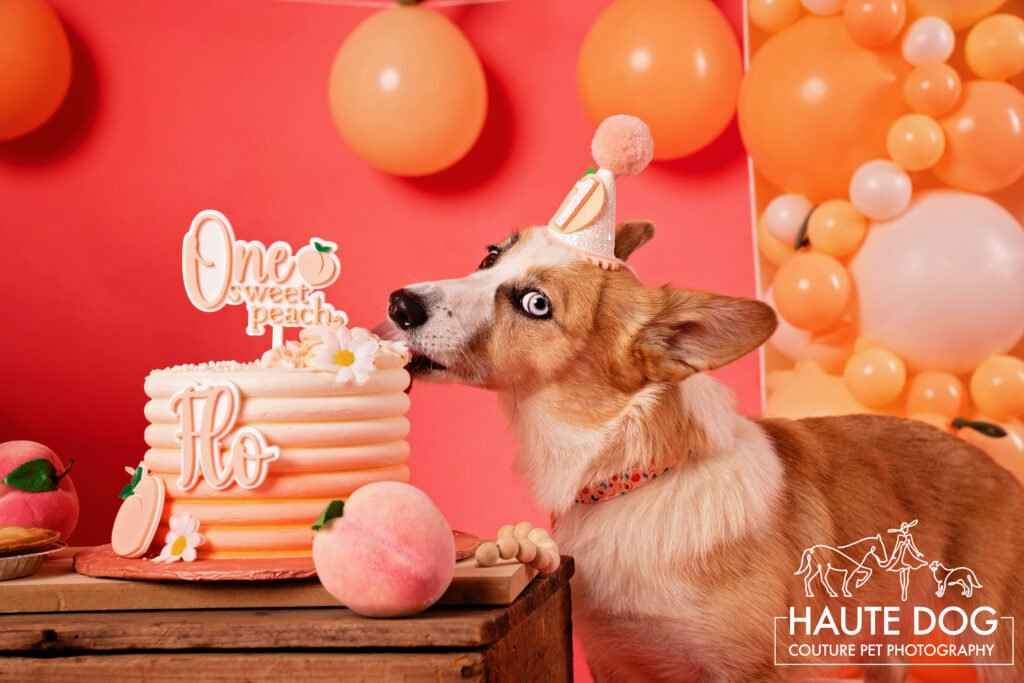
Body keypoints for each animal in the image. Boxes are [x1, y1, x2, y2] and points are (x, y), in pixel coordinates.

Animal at [385, 220, 1024, 683]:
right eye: (490, 255)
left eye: (536, 304)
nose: (399, 303)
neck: (634, 481)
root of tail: (989, 459)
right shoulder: (617, 664)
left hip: (995, 643)